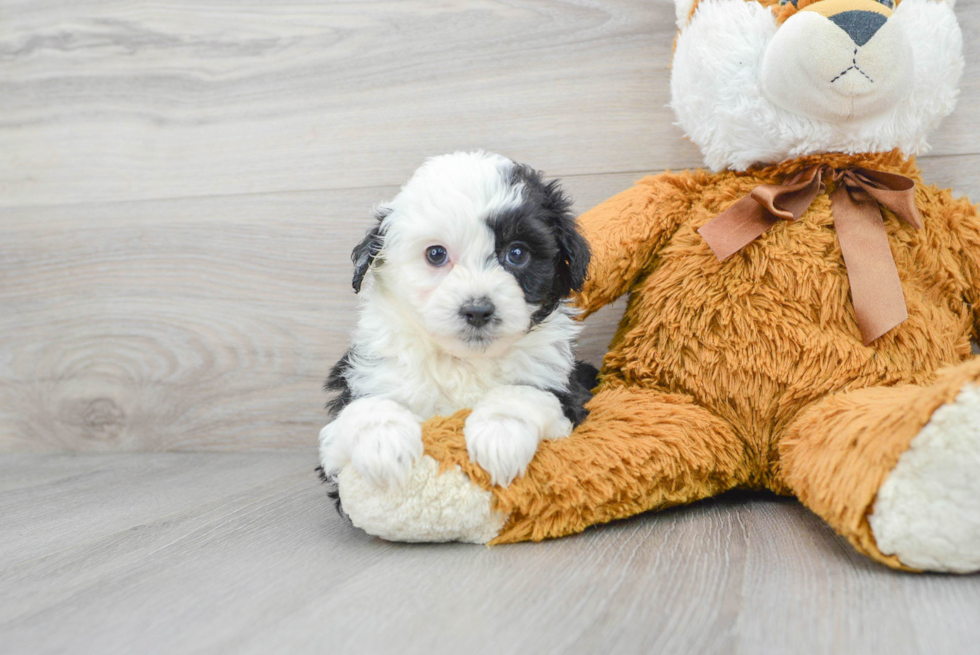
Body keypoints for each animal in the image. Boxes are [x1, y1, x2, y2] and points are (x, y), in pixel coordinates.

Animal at [320, 151, 596, 490]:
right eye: (436, 254)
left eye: (517, 253)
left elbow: (524, 393)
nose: (478, 310)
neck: (463, 362)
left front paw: (500, 435)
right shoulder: (366, 376)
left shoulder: (562, 385)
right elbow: (367, 406)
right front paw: (383, 446)